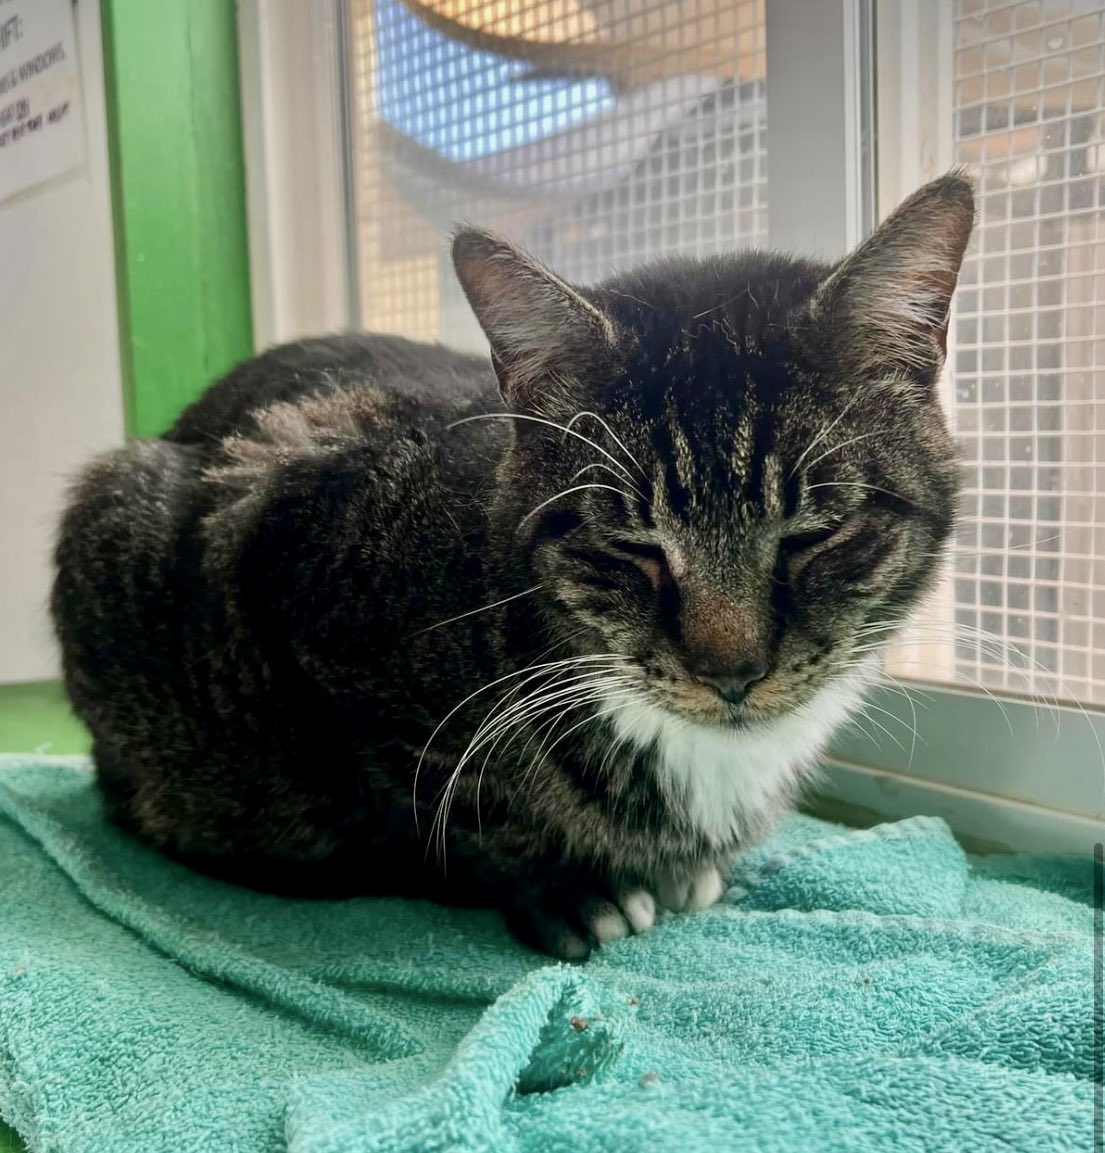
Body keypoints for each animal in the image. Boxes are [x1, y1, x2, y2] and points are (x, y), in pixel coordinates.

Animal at [51, 175, 973, 959]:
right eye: (630, 545)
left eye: (815, 534)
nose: (732, 672)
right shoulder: (288, 554)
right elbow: (443, 798)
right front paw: (566, 884)